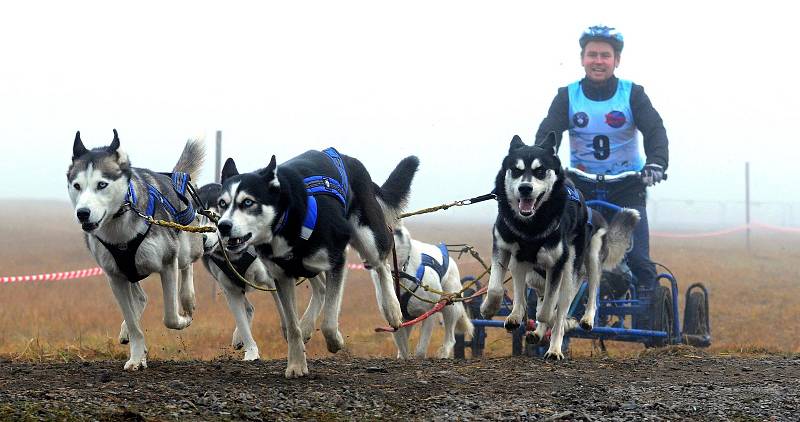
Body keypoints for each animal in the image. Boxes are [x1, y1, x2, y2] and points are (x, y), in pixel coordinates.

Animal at [67, 129, 205, 370]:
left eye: (101, 184)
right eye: (77, 185)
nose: (82, 213)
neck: (119, 231)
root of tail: (172, 176)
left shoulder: (168, 263)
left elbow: (170, 317)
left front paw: (183, 319)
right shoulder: (115, 277)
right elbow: (133, 324)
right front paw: (136, 356)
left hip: (185, 248)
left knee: (187, 265)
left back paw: (188, 299)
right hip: (131, 271)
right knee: (141, 298)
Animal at [197, 181, 324, 360]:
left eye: (215, 217)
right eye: (196, 218)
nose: (202, 239)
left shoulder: (272, 280)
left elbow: (285, 312)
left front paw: (292, 337)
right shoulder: (230, 289)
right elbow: (242, 322)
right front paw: (251, 352)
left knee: (321, 286)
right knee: (249, 308)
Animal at [216, 150, 422, 378]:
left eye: (248, 202)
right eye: (222, 203)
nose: (223, 226)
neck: (287, 219)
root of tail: (348, 159)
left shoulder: (337, 261)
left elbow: (329, 323)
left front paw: (335, 342)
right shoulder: (282, 276)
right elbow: (292, 327)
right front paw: (296, 364)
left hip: (368, 238)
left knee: (381, 266)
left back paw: (392, 310)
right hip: (309, 265)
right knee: (321, 289)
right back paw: (306, 325)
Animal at [376, 226, 472, 358]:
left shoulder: (429, 314)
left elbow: (421, 350)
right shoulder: (395, 321)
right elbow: (403, 349)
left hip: (450, 307)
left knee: (450, 339)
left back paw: (443, 353)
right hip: (409, 320)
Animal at [478, 134, 640, 360]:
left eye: (540, 170)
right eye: (516, 170)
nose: (525, 188)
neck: (531, 225)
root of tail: (594, 211)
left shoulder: (556, 264)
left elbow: (548, 310)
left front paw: (552, 323)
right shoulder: (506, 249)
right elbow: (498, 288)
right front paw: (493, 309)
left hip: (584, 262)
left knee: (583, 296)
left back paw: (562, 340)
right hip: (534, 276)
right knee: (538, 296)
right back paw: (534, 329)